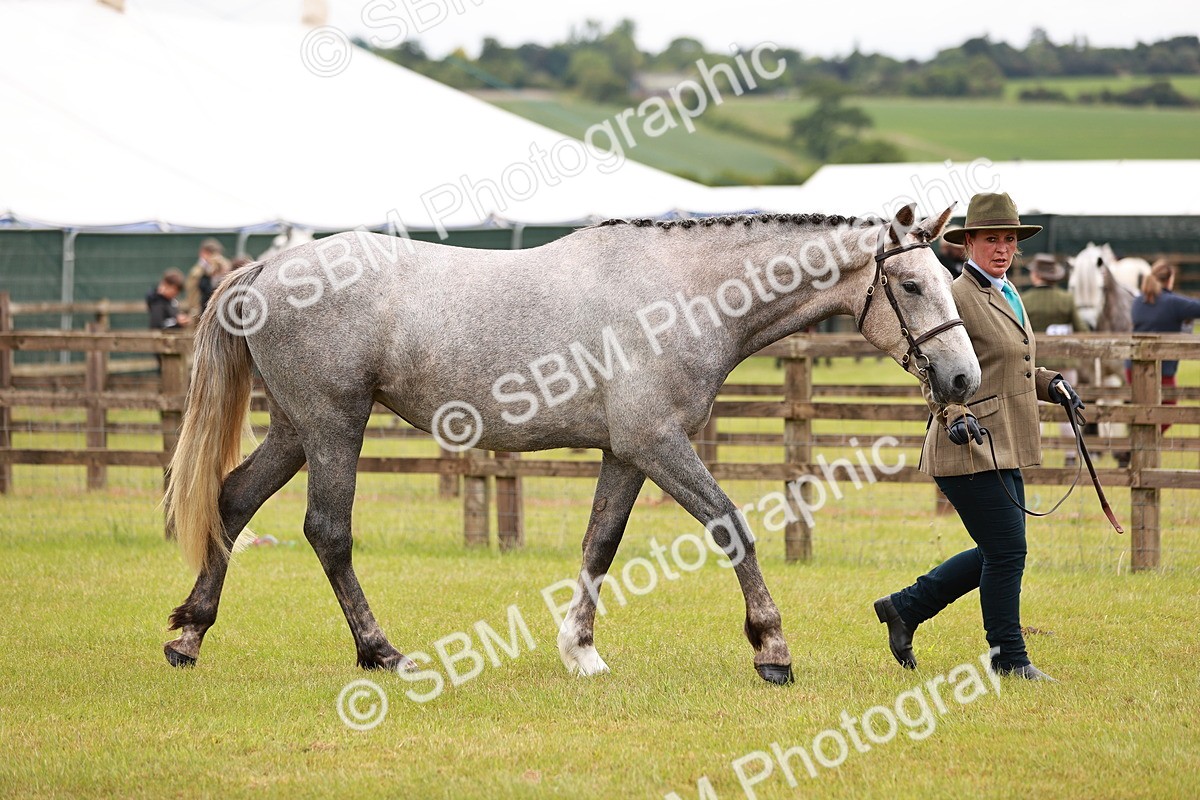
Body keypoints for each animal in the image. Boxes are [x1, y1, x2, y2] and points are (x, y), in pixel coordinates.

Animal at [162, 203, 980, 685]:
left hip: (295, 430)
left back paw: (189, 635)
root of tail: (269, 265)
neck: (685, 292)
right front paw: (770, 647)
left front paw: (580, 650)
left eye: (948, 278)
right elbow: (731, 525)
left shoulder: (627, 453)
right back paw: (381, 652)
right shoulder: (658, 443)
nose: (963, 376)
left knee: (231, 503)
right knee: (328, 530)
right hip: (335, 425)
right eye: (911, 284)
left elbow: (600, 544)